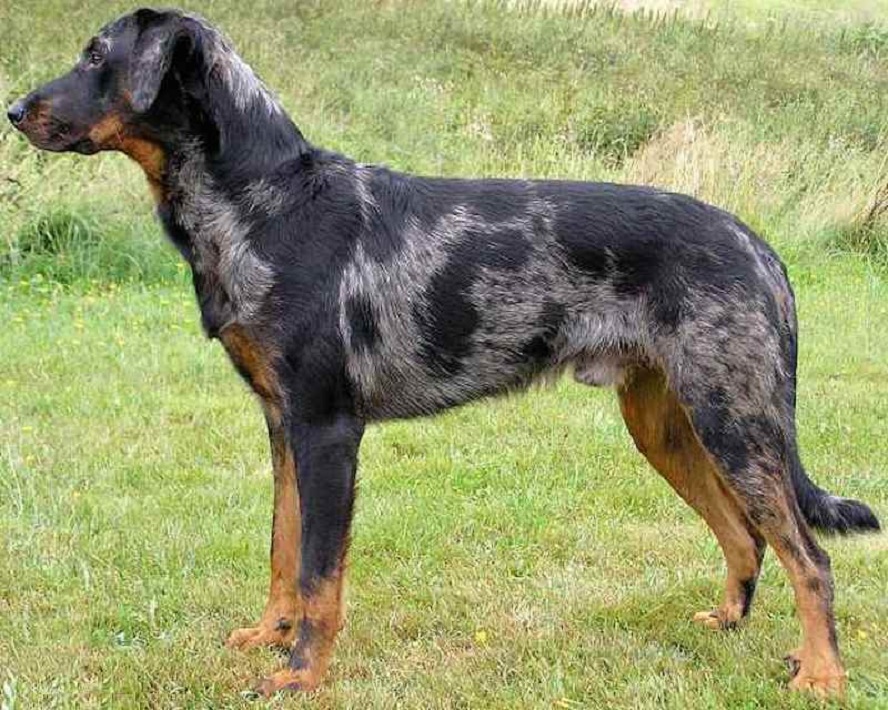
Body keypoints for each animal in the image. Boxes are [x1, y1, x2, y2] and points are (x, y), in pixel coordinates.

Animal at [6, 6, 880, 700]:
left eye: (95, 54)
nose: (14, 109)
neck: (267, 203)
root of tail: (758, 245)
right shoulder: (282, 425)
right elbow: (283, 551)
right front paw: (270, 636)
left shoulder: (327, 430)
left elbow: (319, 572)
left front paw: (300, 673)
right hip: (665, 425)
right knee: (746, 534)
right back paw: (728, 622)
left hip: (734, 417)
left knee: (809, 555)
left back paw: (821, 675)